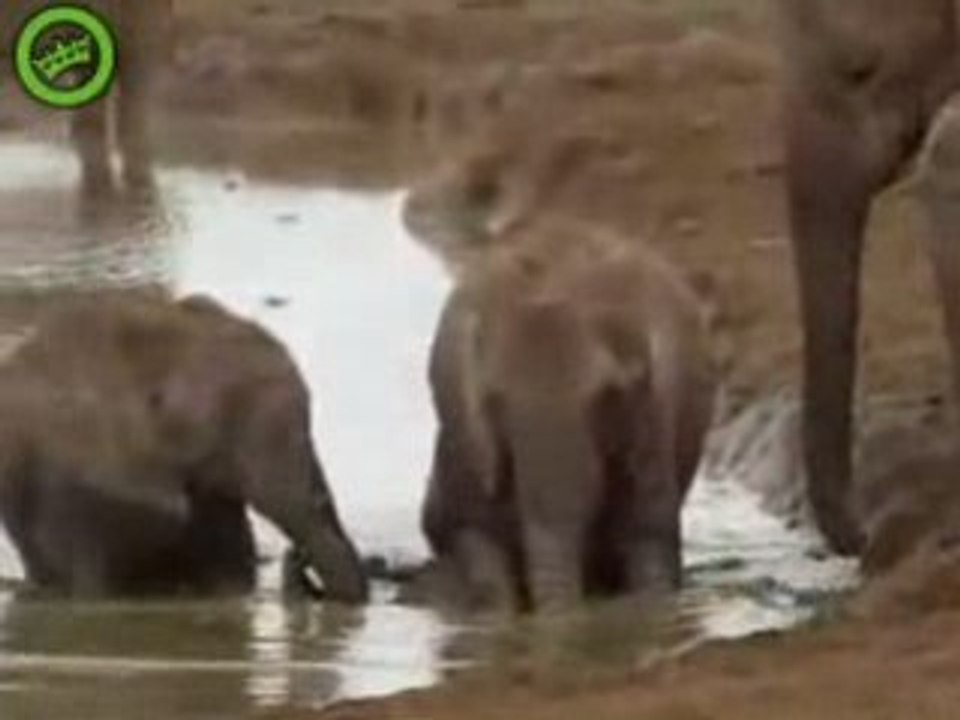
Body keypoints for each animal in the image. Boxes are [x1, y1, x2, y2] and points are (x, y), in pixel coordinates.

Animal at [422, 222, 718, 613]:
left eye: (608, 394)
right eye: (492, 400)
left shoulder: (651, 418)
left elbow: (649, 550)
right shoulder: (468, 437)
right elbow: (481, 548)